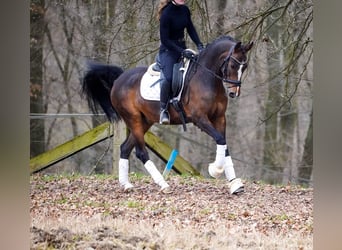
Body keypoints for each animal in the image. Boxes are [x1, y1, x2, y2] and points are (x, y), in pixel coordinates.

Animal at [82, 35, 254, 193]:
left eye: (244, 67)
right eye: (233, 65)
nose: (233, 93)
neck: (208, 79)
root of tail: (119, 79)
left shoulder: (219, 118)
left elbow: (224, 144)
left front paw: (235, 184)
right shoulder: (200, 119)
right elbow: (220, 139)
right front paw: (215, 169)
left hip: (145, 121)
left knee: (125, 148)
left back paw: (126, 185)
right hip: (133, 118)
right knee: (141, 152)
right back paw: (163, 185)